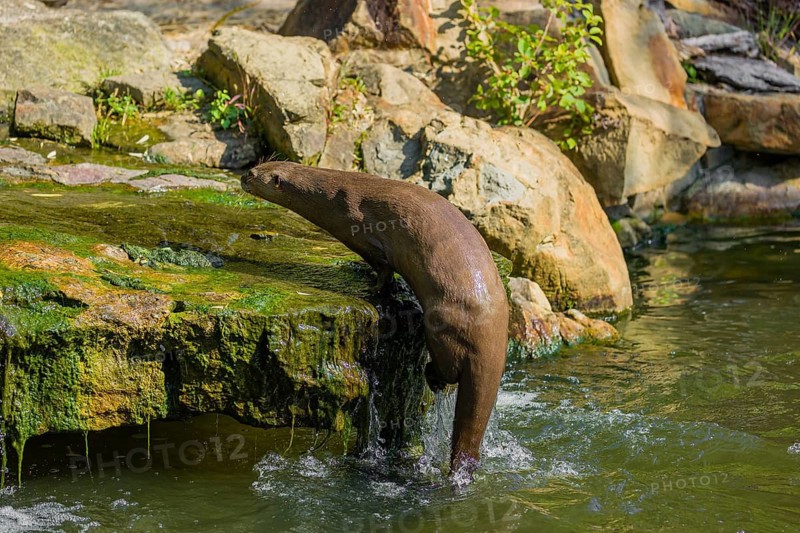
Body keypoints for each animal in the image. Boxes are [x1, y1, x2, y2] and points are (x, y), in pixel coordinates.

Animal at [242, 161, 509, 475]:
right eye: (256, 166)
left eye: (254, 174)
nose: (242, 176)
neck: (330, 196)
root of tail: (490, 332)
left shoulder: (362, 233)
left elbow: (383, 270)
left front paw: (372, 285)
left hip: (444, 327)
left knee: (449, 368)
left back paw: (433, 377)